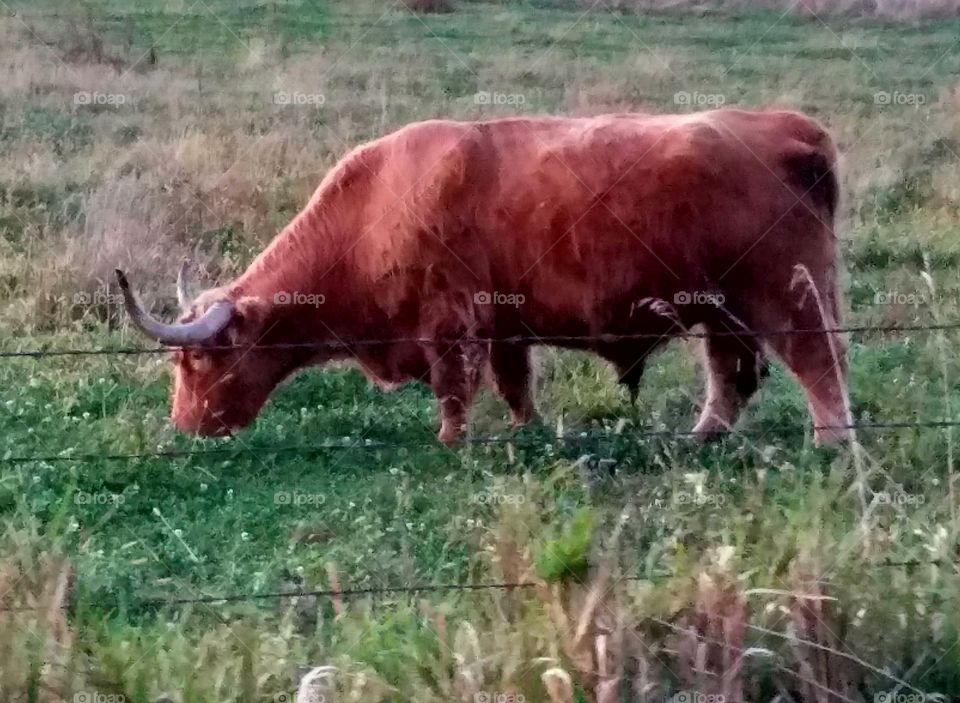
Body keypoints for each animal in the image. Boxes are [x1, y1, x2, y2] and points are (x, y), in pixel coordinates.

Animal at [116, 108, 849, 445]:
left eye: (196, 361)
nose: (183, 426)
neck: (368, 211)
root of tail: (790, 127)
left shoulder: (451, 326)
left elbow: (454, 390)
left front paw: (450, 441)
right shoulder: (505, 328)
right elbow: (514, 384)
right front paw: (528, 431)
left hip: (788, 296)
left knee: (819, 365)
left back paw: (830, 442)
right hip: (721, 311)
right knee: (731, 374)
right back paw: (704, 436)